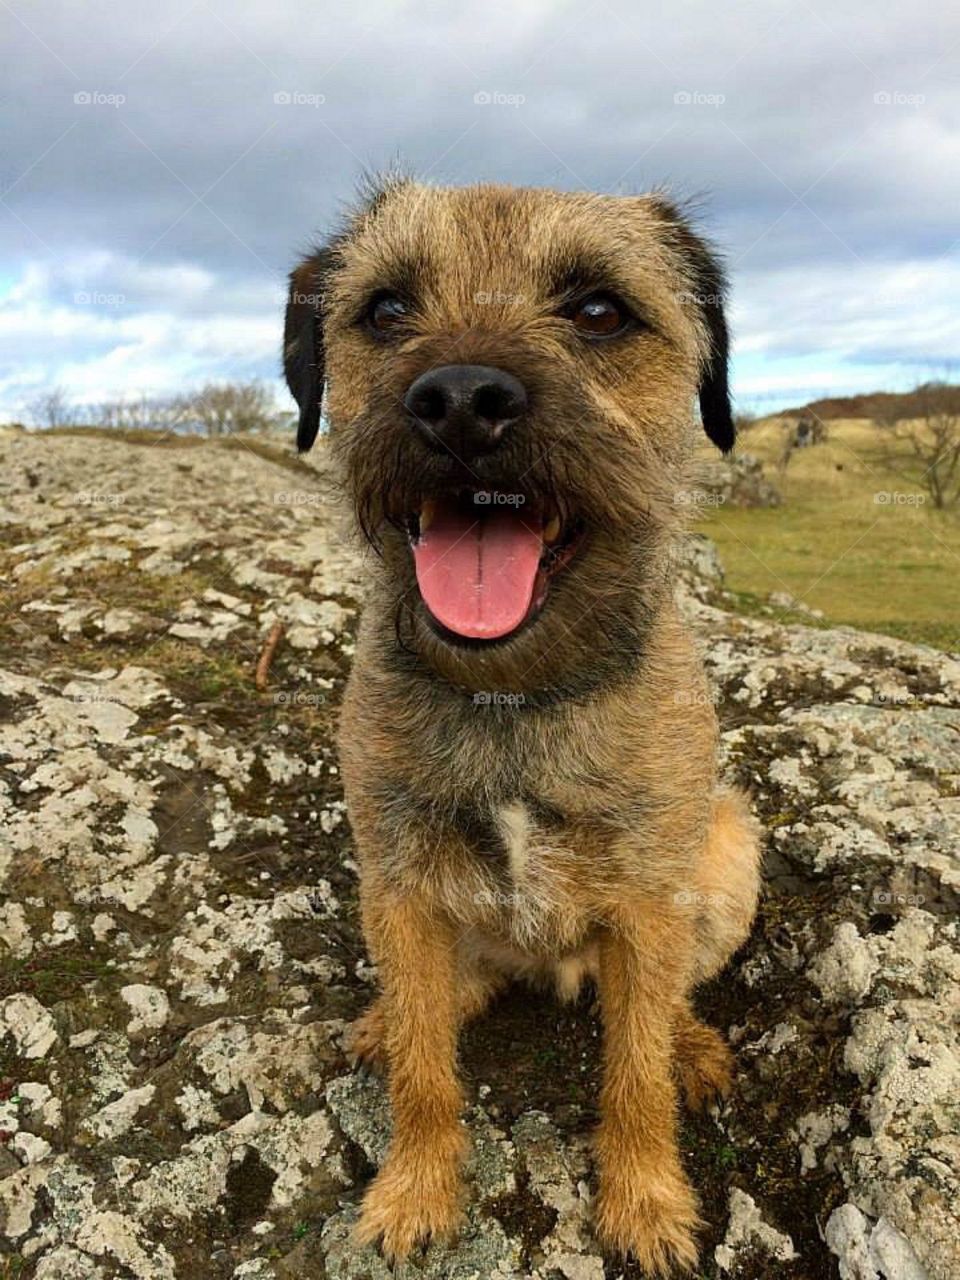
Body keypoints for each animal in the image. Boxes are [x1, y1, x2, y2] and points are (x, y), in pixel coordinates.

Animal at [281, 177, 762, 1269]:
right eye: (385, 309)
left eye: (598, 311)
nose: (461, 399)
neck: (512, 693)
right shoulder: (400, 884)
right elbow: (425, 1071)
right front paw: (415, 1190)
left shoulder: (650, 901)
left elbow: (634, 1073)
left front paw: (645, 1202)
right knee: (436, 1000)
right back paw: (387, 1019)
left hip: (727, 851)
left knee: (667, 1000)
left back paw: (690, 1041)